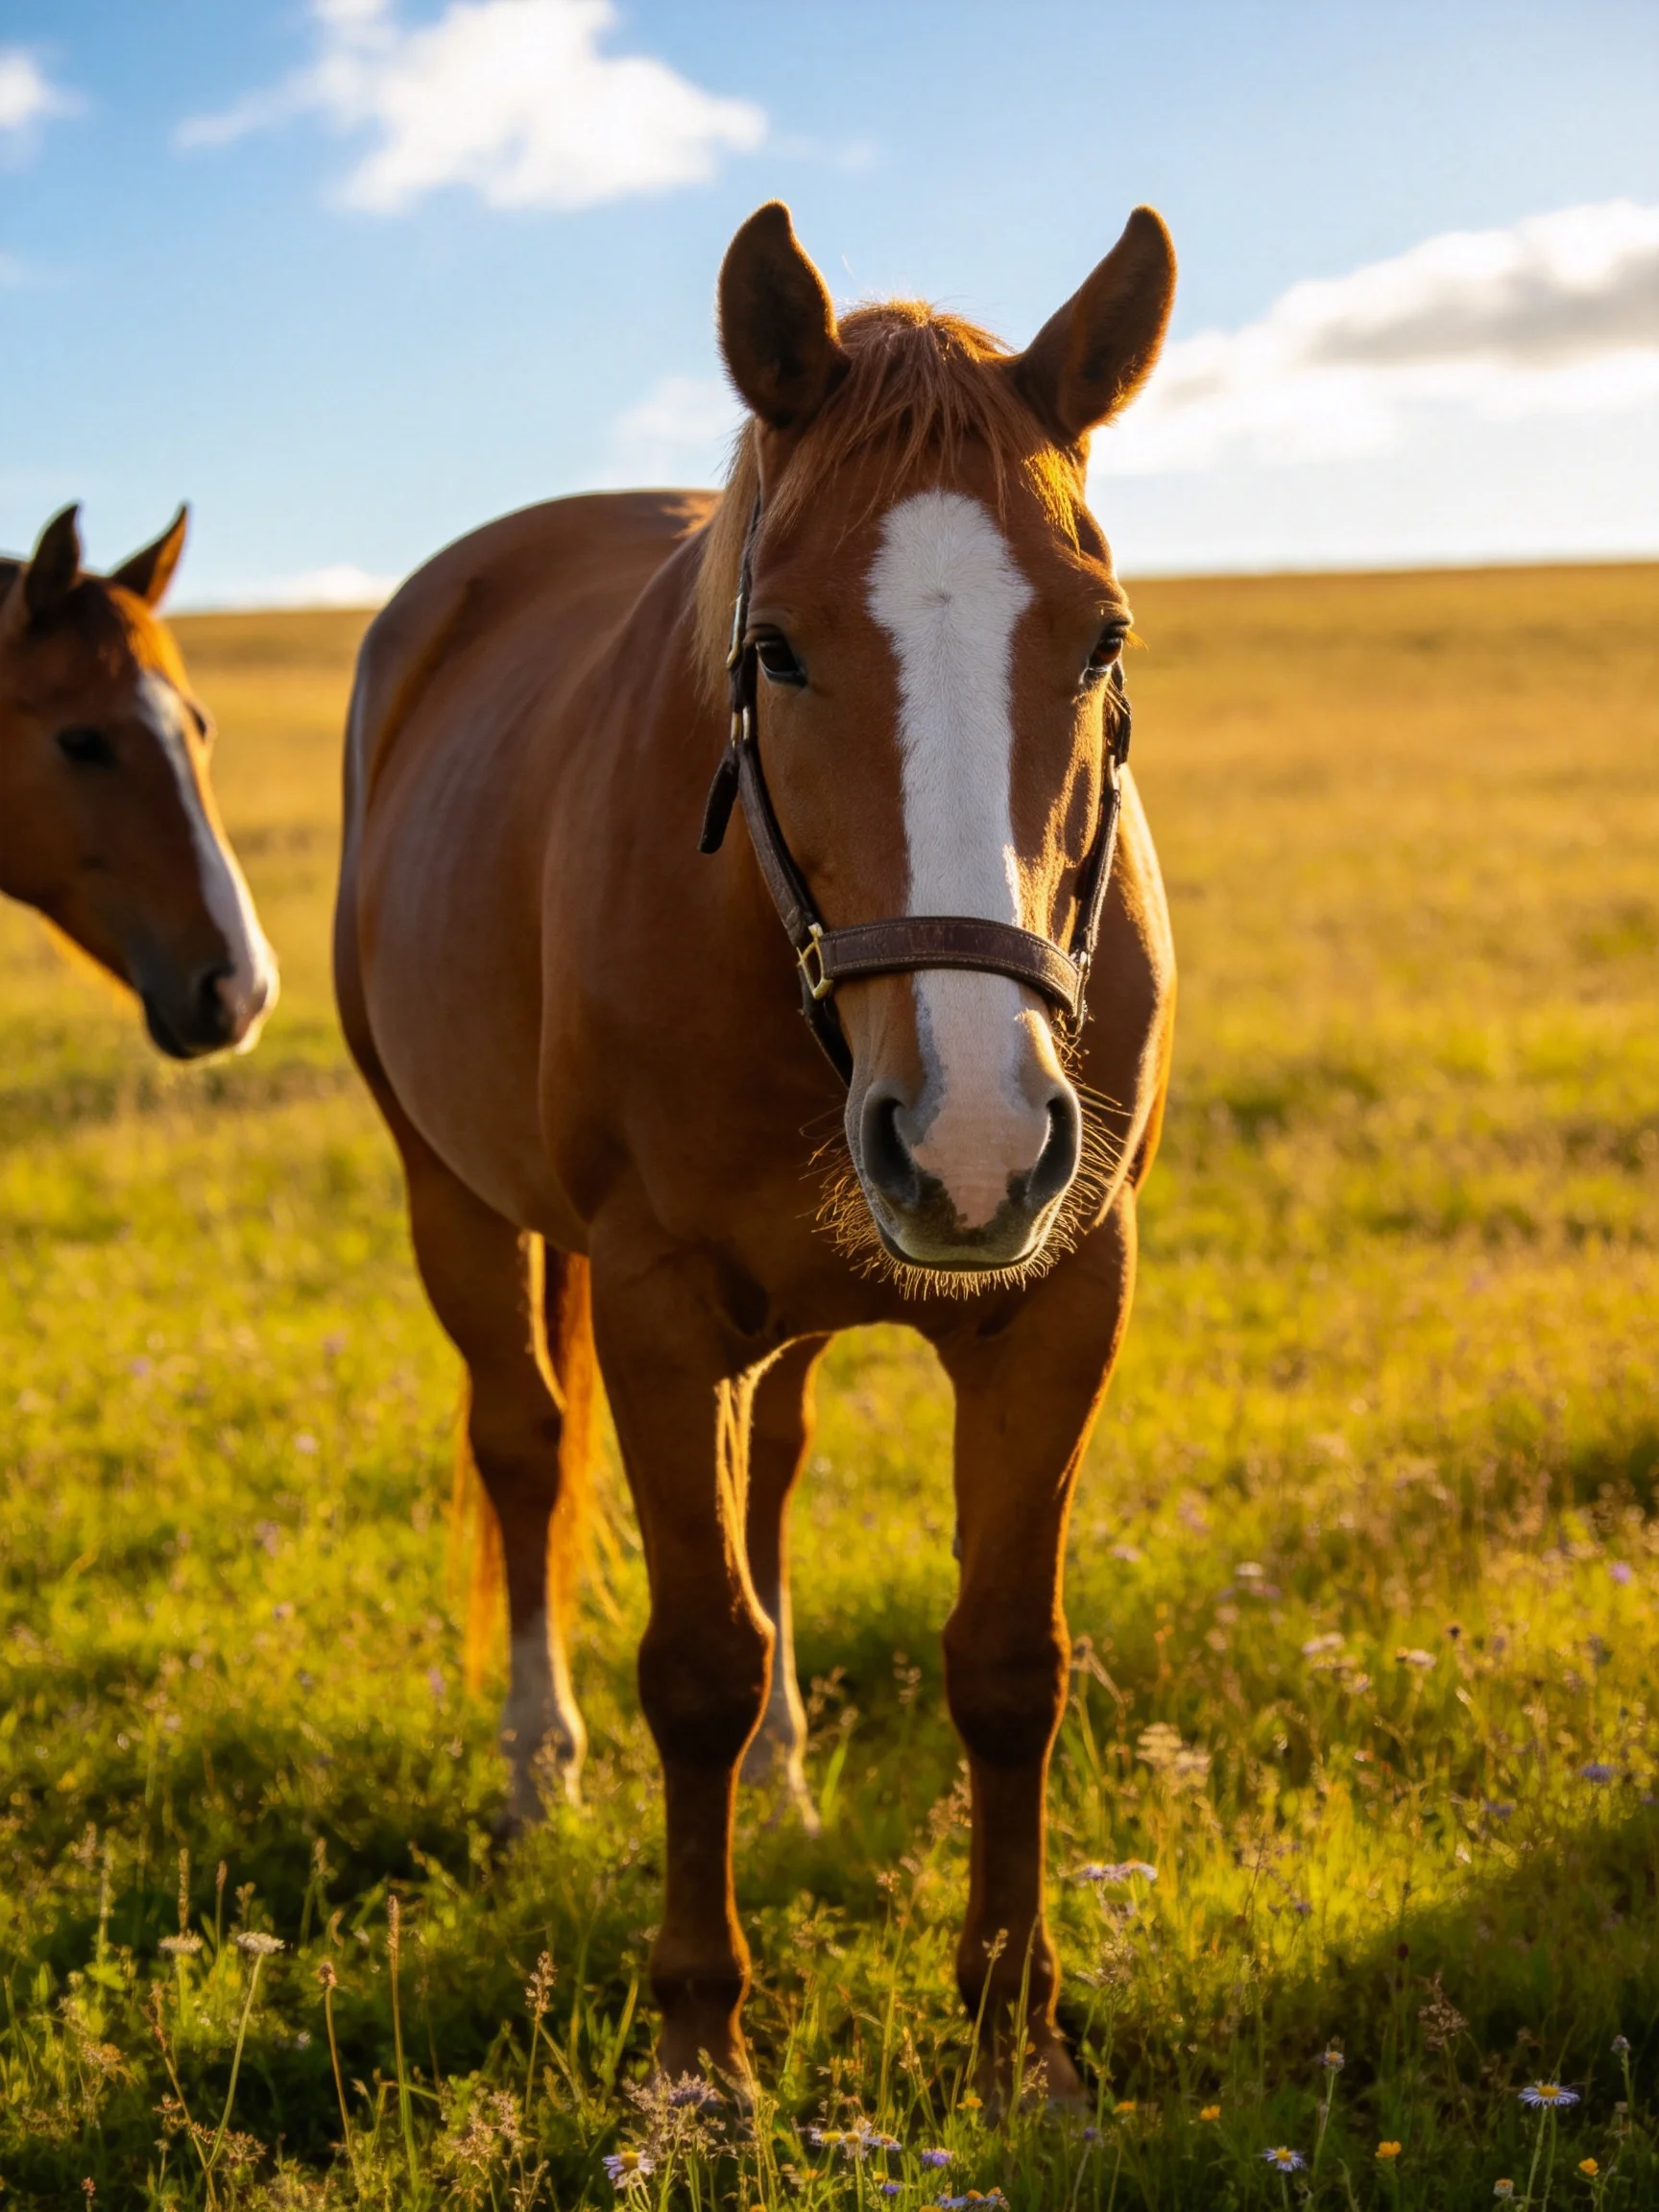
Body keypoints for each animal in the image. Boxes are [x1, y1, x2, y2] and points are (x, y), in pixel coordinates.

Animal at [335, 199, 1177, 2097]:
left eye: (1100, 639)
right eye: (777, 648)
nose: (974, 1134)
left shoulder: (1063, 1296)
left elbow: (1006, 1660)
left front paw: (1016, 2034)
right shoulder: (656, 1306)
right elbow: (696, 1661)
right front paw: (697, 2056)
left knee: (773, 1466)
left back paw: (790, 1773)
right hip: (454, 1200)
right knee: (521, 1444)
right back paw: (535, 1767)